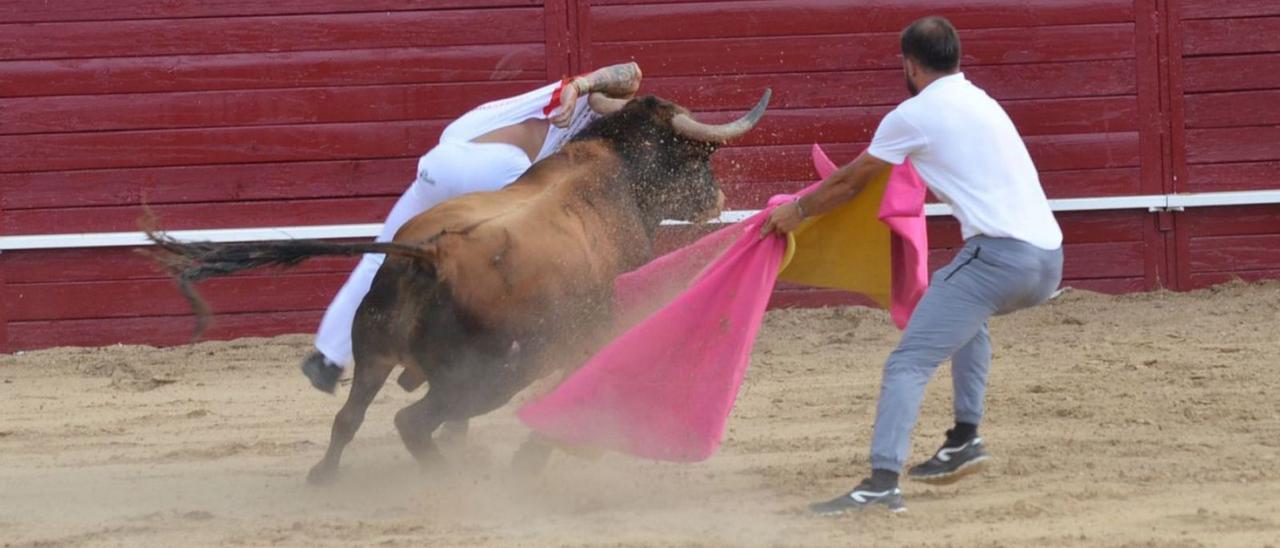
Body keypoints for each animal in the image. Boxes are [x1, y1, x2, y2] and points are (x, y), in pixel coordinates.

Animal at [149, 89, 768, 483]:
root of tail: (431, 254)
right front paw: (533, 460)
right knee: (412, 421)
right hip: (490, 375)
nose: (716, 198)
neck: (615, 166)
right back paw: (457, 477)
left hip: (375, 352)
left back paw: (326, 475)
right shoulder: (590, 334)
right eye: (701, 155)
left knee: (350, 415)